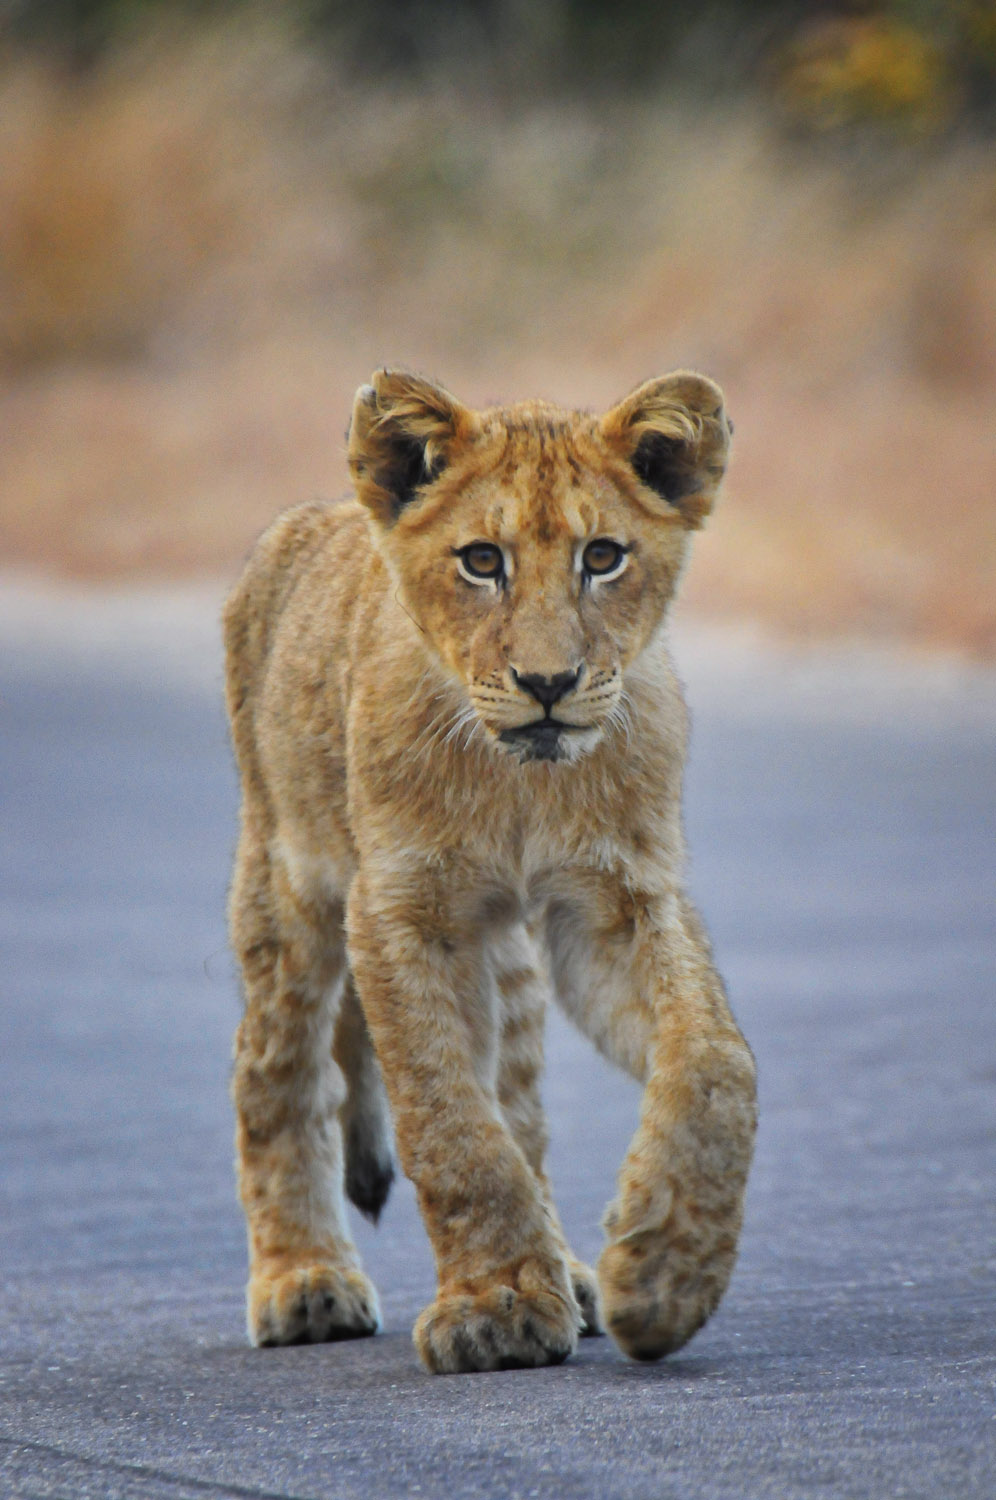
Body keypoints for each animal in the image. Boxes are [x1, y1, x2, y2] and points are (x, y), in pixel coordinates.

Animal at [223, 368, 757, 1373]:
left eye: (602, 557)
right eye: (480, 561)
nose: (548, 683)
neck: (521, 787)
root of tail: (310, 516)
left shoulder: (618, 902)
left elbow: (714, 1061)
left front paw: (663, 1272)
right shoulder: (397, 910)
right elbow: (447, 1121)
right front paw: (497, 1308)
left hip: (504, 959)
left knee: (520, 1106)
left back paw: (573, 1275)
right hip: (287, 880)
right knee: (278, 1075)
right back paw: (304, 1282)